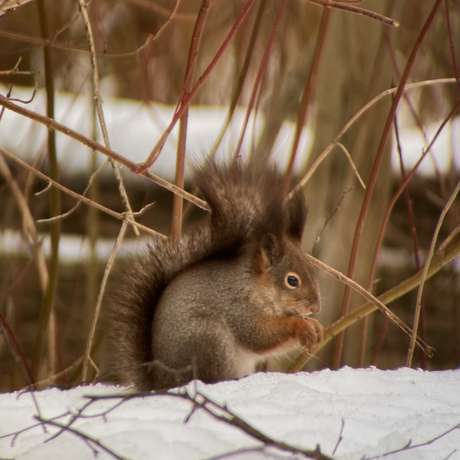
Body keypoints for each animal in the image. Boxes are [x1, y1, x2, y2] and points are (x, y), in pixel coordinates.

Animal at [107, 161, 323, 391]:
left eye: (312, 270)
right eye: (292, 280)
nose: (315, 308)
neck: (256, 288)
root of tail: (161, 381)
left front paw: (316, 328)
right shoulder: (238, 308)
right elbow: (259, 335)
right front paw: (301, 326)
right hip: (211, 340)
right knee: (211, 376)